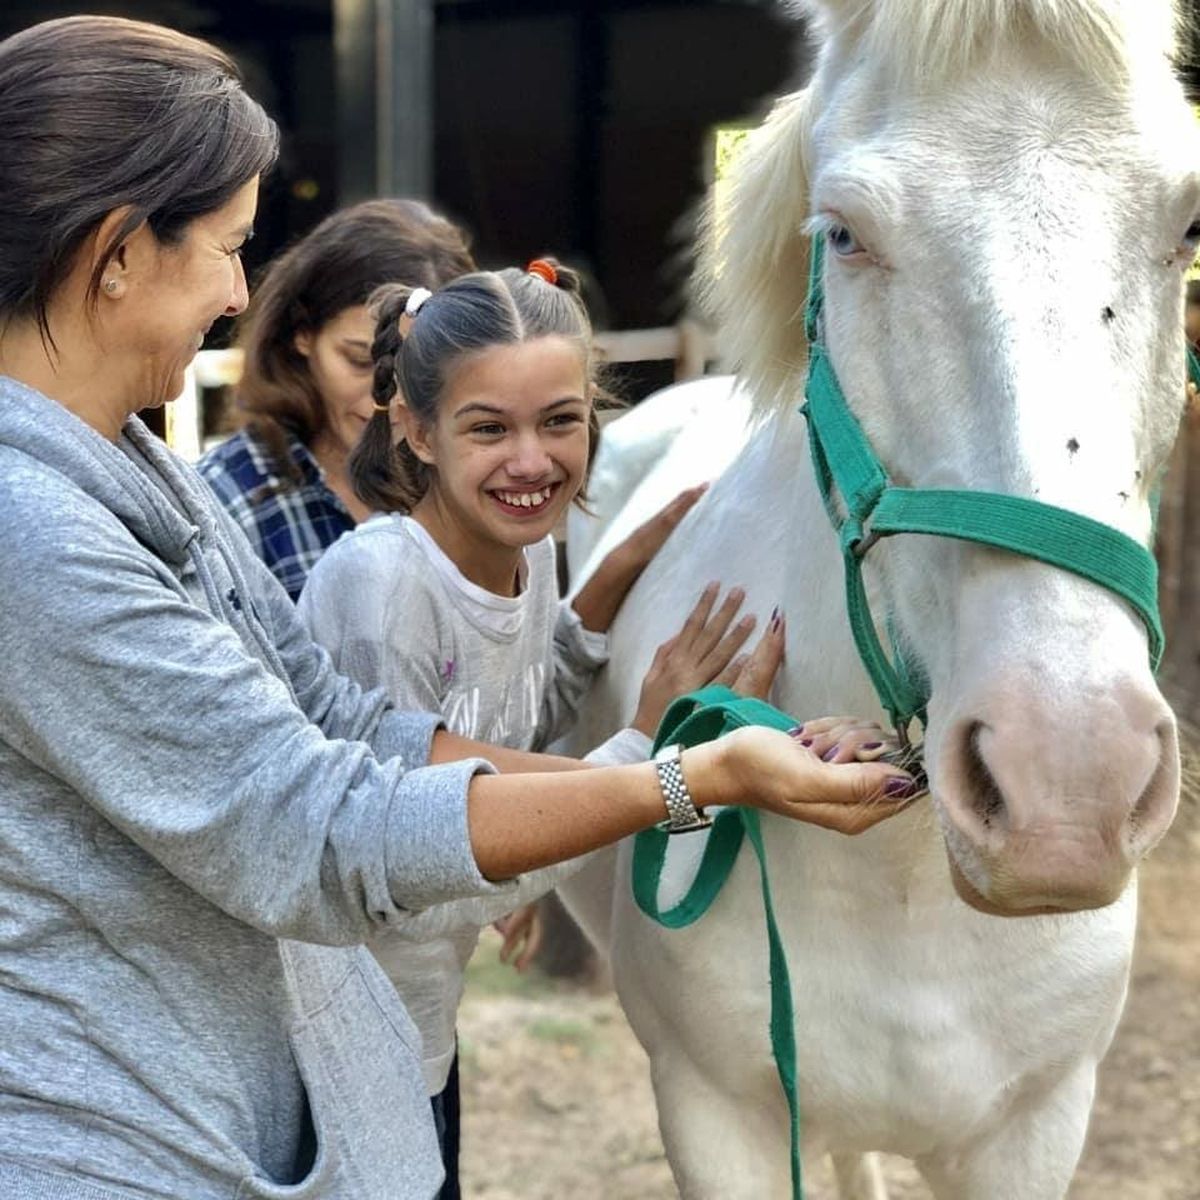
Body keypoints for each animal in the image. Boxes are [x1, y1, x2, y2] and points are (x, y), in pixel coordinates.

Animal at [560, 1, 1196, 1196]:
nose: (1065, 787)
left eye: (1188, 227)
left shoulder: (1035, 1127)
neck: (905, 881)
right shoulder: (717, 1121)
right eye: (845, 234)